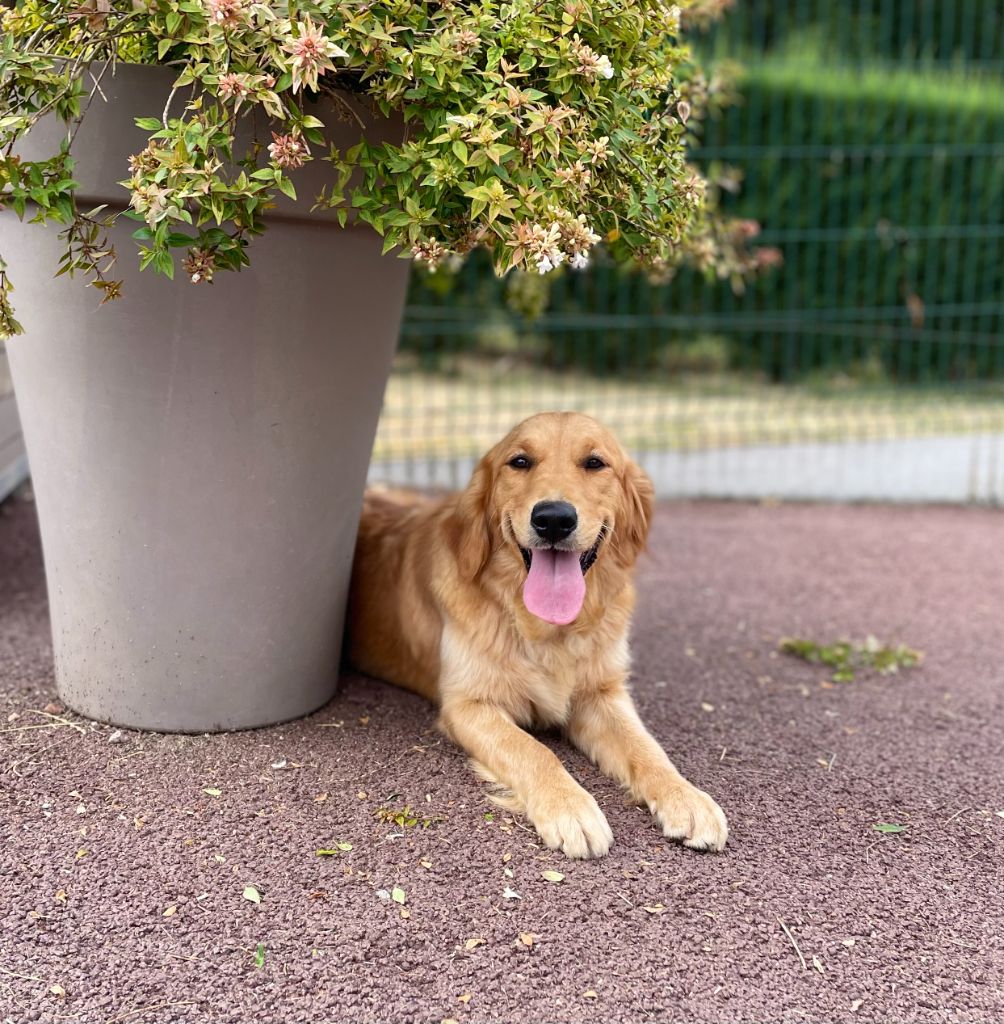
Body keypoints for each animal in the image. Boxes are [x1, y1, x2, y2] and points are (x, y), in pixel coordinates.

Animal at [348, 411, 725, 860]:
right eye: (520, 462)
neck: (549, 630)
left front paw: (686, 797)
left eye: (595, 463)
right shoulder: (469, 705)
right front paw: (570, 807)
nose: (554, 519)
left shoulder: (602, 694)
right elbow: (533, 751)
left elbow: (647, 747)